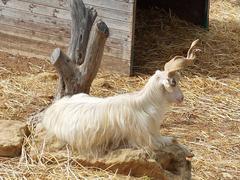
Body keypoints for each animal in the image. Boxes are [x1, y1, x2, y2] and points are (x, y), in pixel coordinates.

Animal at [41, 39, 201, 156]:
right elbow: (173, 139)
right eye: (174, 82)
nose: (181, 98)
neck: (145, 104)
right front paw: (189, 151)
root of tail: (51, 111)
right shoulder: (148, 140)